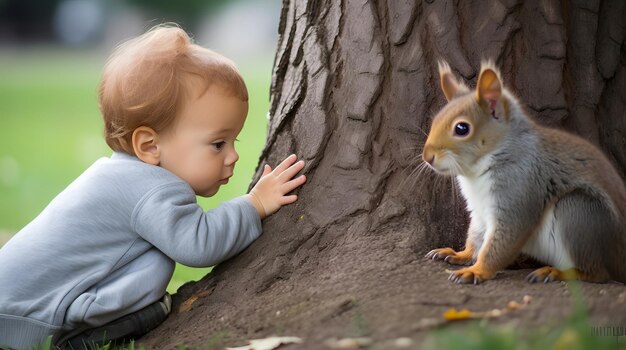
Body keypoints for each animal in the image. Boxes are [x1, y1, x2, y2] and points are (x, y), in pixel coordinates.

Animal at [420, 60, 624, 284]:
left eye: (462, 128)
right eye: (435, 120)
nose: (427, 156)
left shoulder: (519, 189)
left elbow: (501, 243)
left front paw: (476, 270)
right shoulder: (478, 209)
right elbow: (476, 237)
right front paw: (459, 254)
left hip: (579, 214)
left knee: (597, 273)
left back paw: (555, 272)